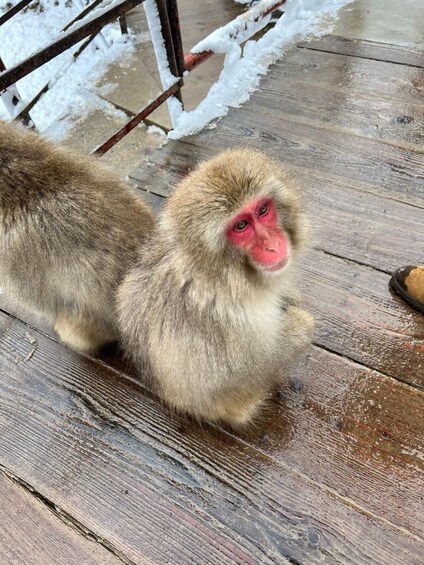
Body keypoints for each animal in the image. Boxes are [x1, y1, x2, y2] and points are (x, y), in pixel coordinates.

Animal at [117, 148, 314, 426]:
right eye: (241, 226)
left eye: (263, 210)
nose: (273, 245)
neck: (213, 274)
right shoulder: (226, 320)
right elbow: (254, 365)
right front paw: (302, 325)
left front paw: (288, 296)